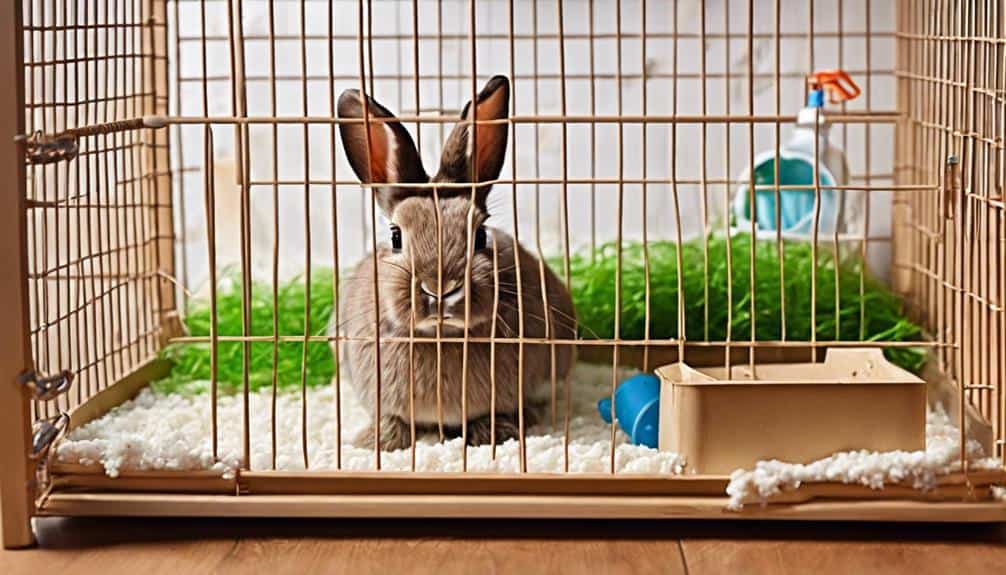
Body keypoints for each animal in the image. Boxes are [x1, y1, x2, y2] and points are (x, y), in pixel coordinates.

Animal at [336, 75, 577, 451]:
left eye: (480, 235)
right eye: (395, 236)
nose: (440, 288)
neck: (441, 337)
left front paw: (495, 433)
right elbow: (392, 418)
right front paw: (377, 440)